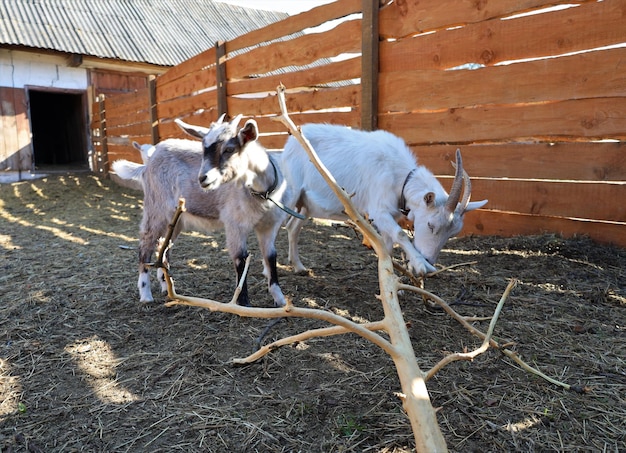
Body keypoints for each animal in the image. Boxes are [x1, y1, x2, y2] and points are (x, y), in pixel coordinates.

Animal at [111, 115, 290, 308]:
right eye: (203, 149)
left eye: (229, 149)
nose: (203, 178)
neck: (261, 192)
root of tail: (147, 163)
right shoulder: (235, 223)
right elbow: (241, 259)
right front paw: (243, 304)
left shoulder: (269, 225)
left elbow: (271, 257)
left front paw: (280, 300)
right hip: (156, 208)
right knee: (145, 246)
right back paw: (145, 294)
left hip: (175, 219)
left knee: (163, 248)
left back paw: (167, 288)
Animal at [280, 122, 488, 274]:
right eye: (430, 225)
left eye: (452, 233)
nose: (429, 258)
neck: (398, 174)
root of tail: (291, 141)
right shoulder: (379, 211)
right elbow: (401, 234)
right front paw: (421, 265)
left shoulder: (392, 215)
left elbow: (388, 246)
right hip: (291, 192)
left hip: (306, 205)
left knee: (293, 227)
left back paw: (299, 267)